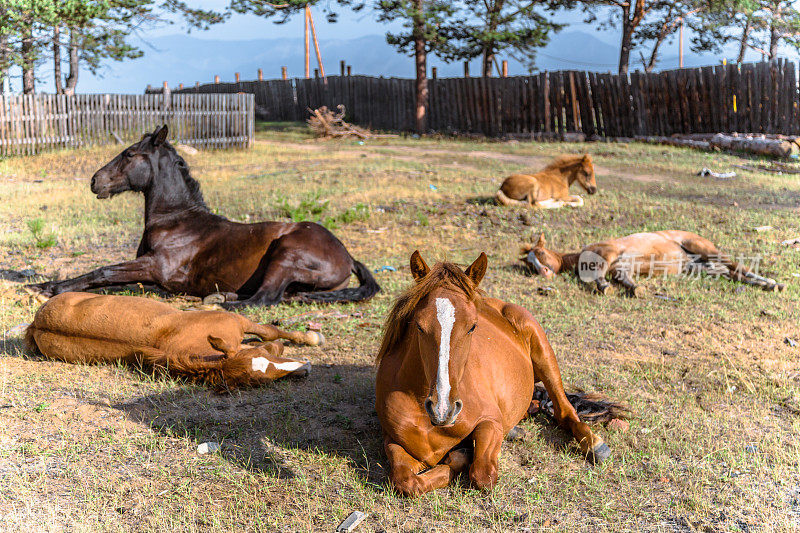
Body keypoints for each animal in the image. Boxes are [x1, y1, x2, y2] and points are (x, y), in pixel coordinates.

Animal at [25, 290, 324, 390]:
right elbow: (271, 334)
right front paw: (310, 337)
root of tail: (36, 322)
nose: (307, 368)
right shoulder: (237, 321)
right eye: (260, 380)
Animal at [28, 125, 382, 308]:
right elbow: (112, 282)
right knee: (282, 294)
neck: (177, 221)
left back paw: (218, 301)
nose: (95, 181)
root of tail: (347, 257)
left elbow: (103, 271)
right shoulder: (149, 275)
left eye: (129, 154)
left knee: (265, 298)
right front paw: (51, 284)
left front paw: (50, 287)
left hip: (286, 253)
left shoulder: (156, 266)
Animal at [376, 249, 624, 494]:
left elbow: (482, 474)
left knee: (564, 411)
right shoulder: (392, 440)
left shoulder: (491, 421)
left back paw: (595, 444)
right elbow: (405, 481)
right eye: (419, 325)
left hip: (543, 351)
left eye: (472, 326)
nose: (443, 409)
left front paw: (463, 455)